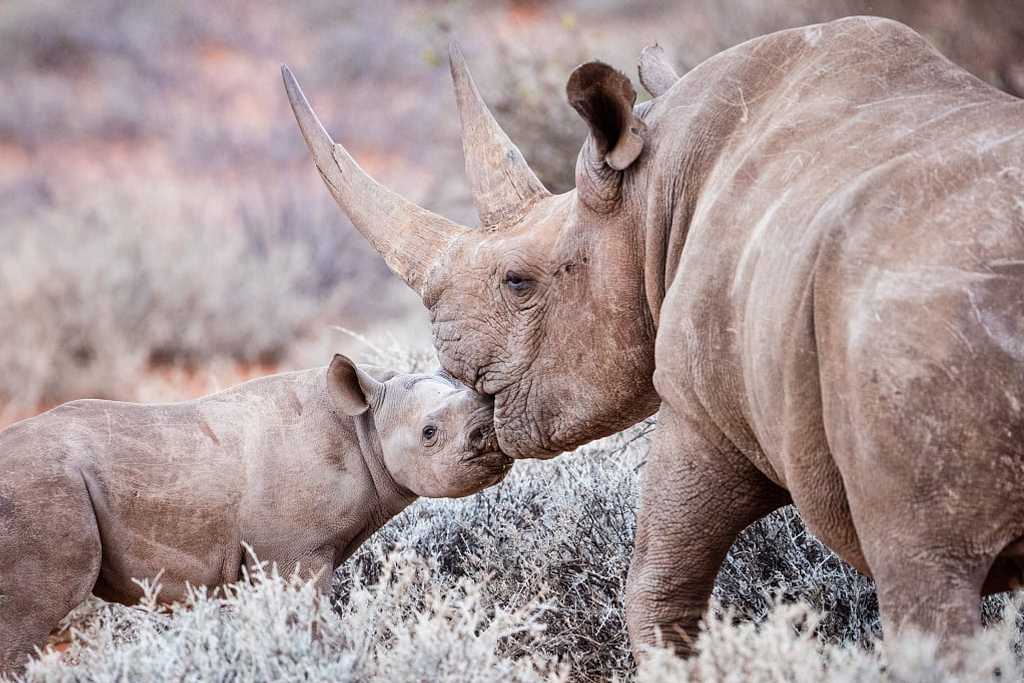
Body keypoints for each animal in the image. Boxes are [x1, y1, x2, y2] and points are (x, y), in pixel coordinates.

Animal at [0, 356, 512, 675]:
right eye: (429, 433)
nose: (493, 438)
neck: (364, 423)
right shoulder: (296, 554)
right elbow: (306, 625)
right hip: (42, 489)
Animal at [284, 15, 1024, 655]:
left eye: (518, 283)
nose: (455, 365)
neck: (650, 197)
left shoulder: (698, 406)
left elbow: (658, 585)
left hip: (917, 323)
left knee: (927, 587)